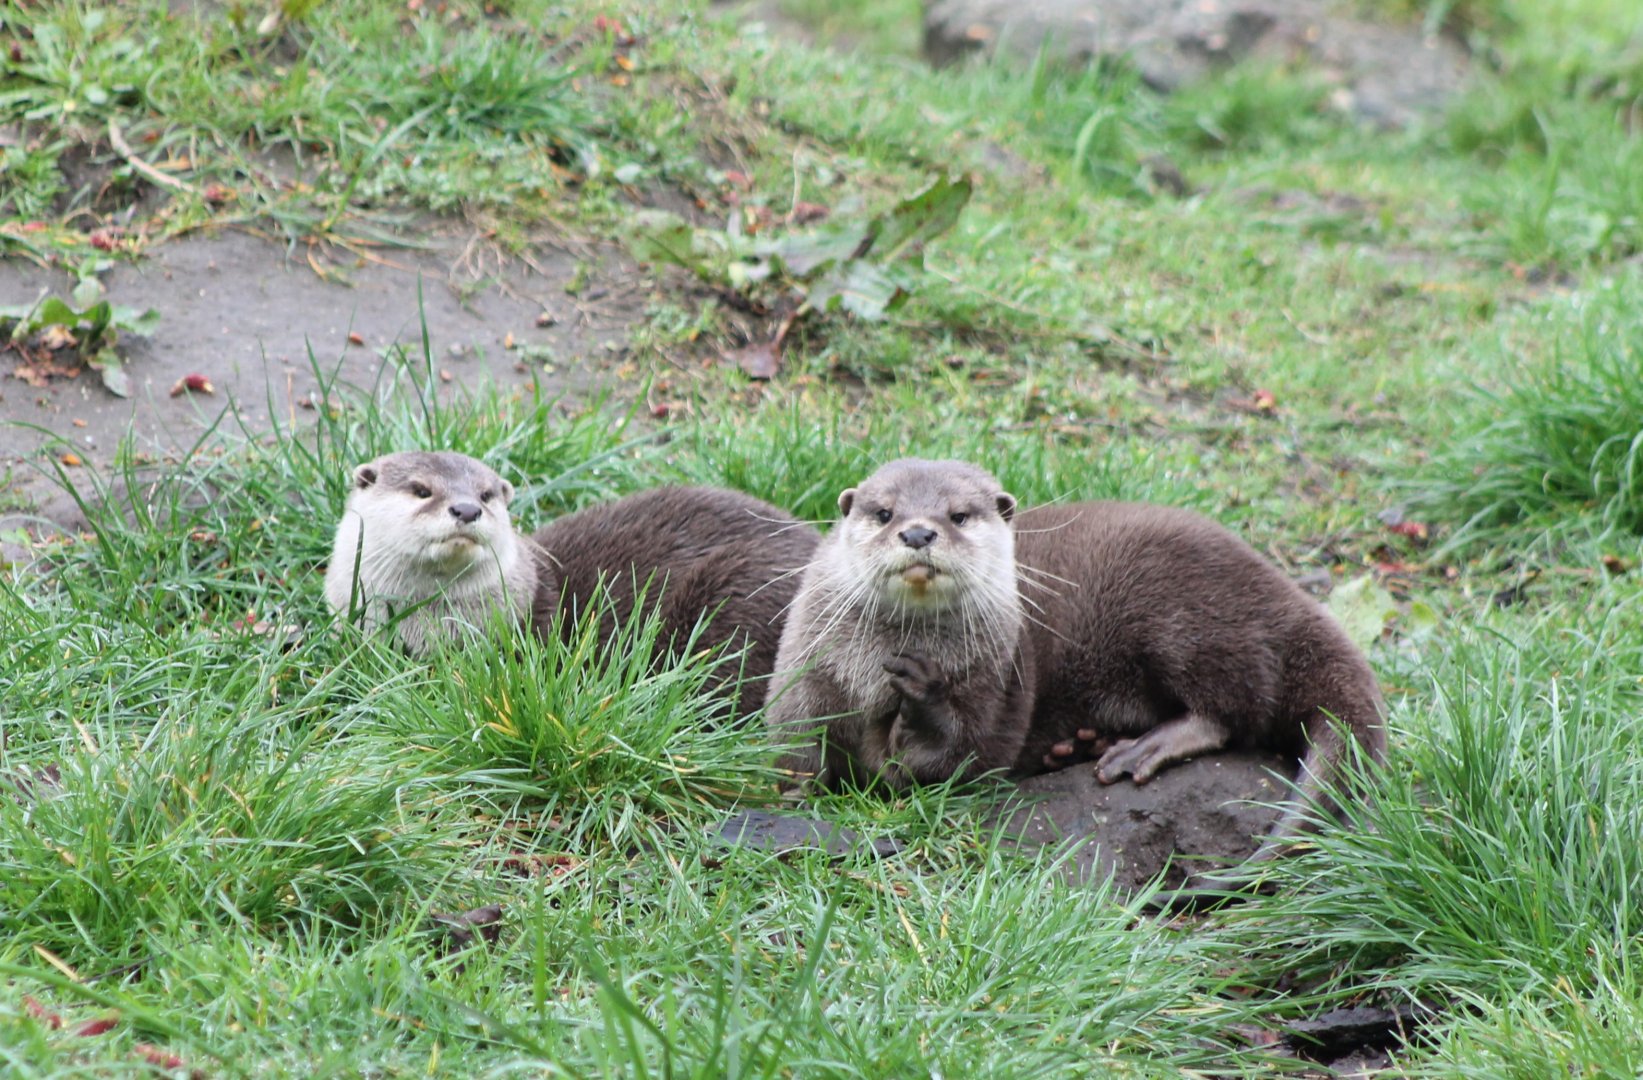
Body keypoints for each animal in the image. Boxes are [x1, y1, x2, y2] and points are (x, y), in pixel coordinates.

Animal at [766, 458, 1385, 857]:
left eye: (959, 515)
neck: (872, 668)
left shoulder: (997, 681)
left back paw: (1144, 747)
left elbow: (956, 757)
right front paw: (793, 796)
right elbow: (792, 748)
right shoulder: (805, 677)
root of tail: (1295, 604)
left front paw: (923, 699)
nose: (918, 533)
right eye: (884, 512)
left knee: (1235, 708)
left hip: (1189, 615)